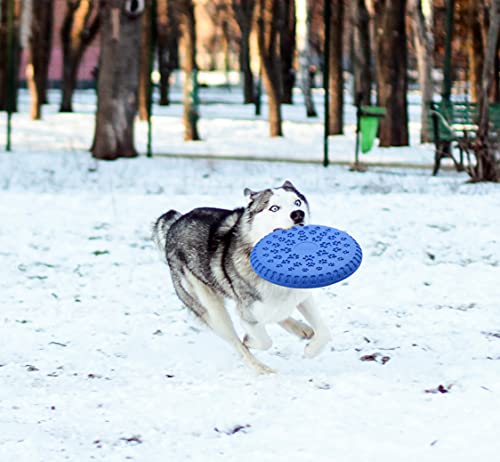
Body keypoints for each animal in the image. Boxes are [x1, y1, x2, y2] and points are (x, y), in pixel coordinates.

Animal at [152, 179, 332, 374]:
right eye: (274, 208)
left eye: (297, 202)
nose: (298, 214)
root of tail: (175, 222)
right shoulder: (248, 311)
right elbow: (262, 340)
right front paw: (250, 340)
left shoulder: (301, 295)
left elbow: (324, 331)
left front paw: (311, 350)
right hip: (210, 307)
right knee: (237, 343)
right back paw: (262, 369)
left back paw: (302, 329)